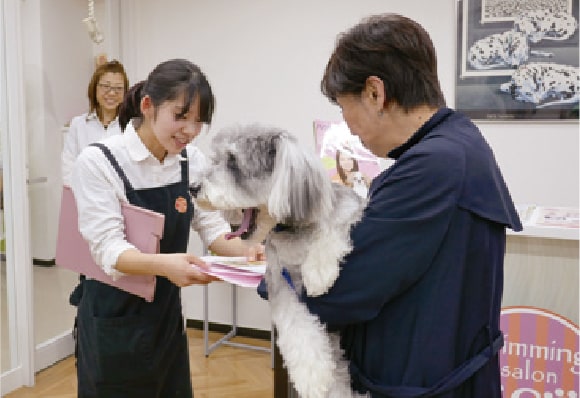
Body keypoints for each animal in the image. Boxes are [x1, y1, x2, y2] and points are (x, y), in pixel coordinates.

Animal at [194, 124, 368, 398]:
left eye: (233, 161)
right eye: (215, 160)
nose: (192, 188)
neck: (290, 228)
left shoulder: (350, 210)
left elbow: (331, 228)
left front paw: (318, 272)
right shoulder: (279, 280)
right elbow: (295, 323)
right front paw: (311, 375)